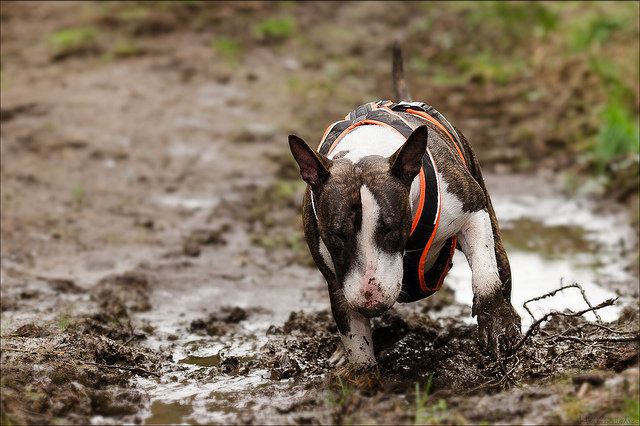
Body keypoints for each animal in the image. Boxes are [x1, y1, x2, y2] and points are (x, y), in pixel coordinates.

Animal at [288, 44, 520, 366]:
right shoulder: (337, 277)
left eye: (390, 229)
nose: (369, 301)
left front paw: (497, 328)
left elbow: (486, 278)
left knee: (500, 268)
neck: (368, 148)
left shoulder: (471, 210)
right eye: (336, 234)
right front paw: (361, 371)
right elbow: (356, 340)